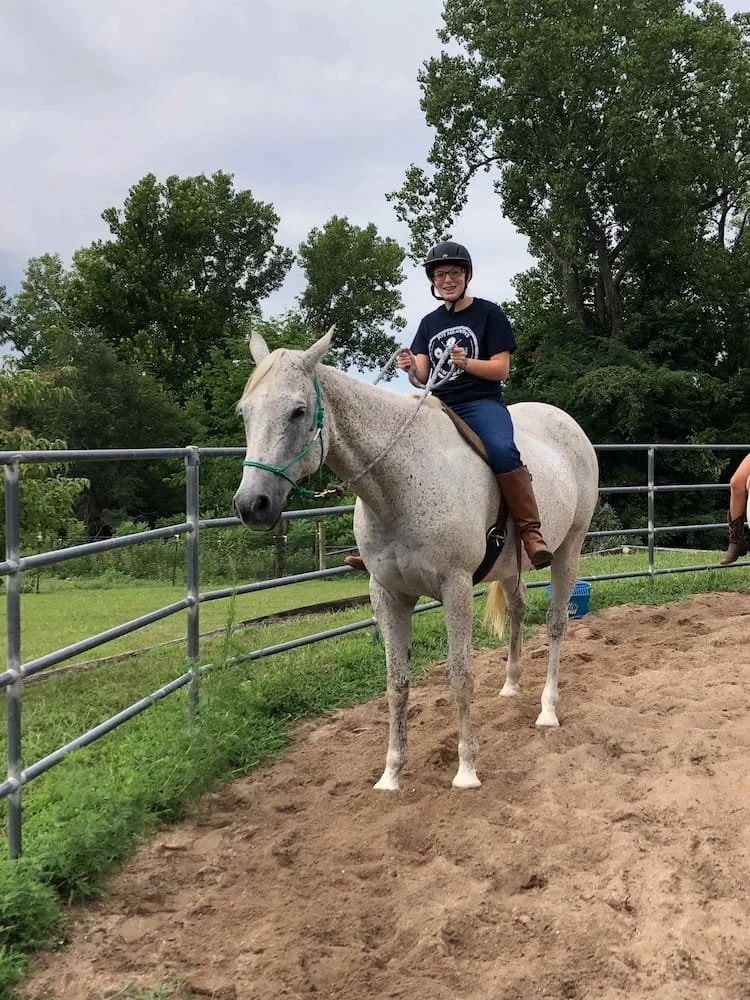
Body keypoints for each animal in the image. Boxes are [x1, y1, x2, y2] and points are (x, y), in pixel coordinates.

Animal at [233, 329, 599, 791]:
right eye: (244, 412)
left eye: (298, 411)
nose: (252, 505)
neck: (399, 483)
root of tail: (567, 423)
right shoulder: (388, 593)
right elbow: (396, 682)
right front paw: (391, 773)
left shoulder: (456, 587)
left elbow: (460, 677)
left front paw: (466, 770)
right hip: (512, 568)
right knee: (519, 610)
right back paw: (511, 687)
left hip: (569, 549)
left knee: (555, 624)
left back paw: (547, 710)